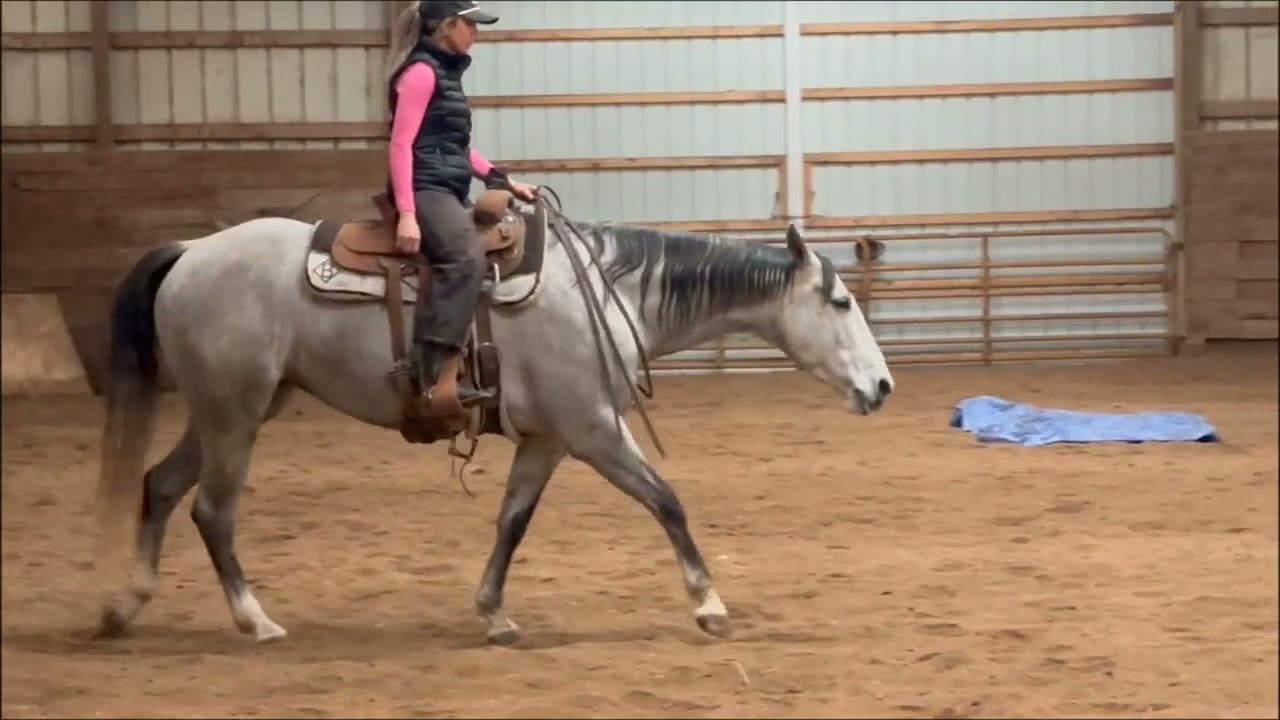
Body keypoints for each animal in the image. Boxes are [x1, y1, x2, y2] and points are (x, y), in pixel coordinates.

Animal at [92, 200, 895, 647]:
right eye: (841, 303)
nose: (882, 386)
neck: (608, 291)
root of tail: (192, 253)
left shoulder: (548, 440)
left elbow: (513, 521)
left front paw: (494, 614)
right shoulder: (594, 430)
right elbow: (667, 501)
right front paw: (710, 605)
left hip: (230, 409)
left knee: (160, 486)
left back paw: (125, 606)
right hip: (235, 413)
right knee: (212, 512)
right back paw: (253, 620)